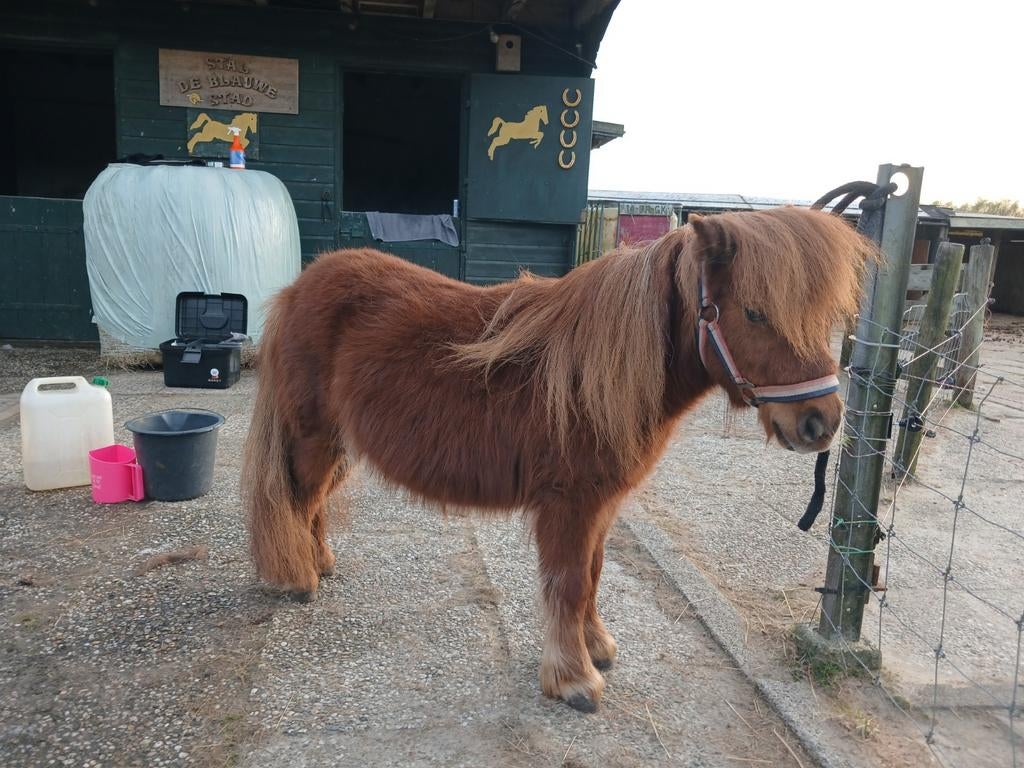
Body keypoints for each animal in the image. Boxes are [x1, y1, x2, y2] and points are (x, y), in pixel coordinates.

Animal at [241, 205, 876, 713]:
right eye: (754, 313)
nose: (822, 422)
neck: (596, 374)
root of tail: (300, 287)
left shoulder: (601, 506)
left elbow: (591, 577)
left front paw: (596, 647)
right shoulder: (570, 505)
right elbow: (568, 583)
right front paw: (574, 679)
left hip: (337, 443)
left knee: (315, 502)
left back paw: (319, 562)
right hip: (312, 438)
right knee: (295, 497)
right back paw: (295, 576)